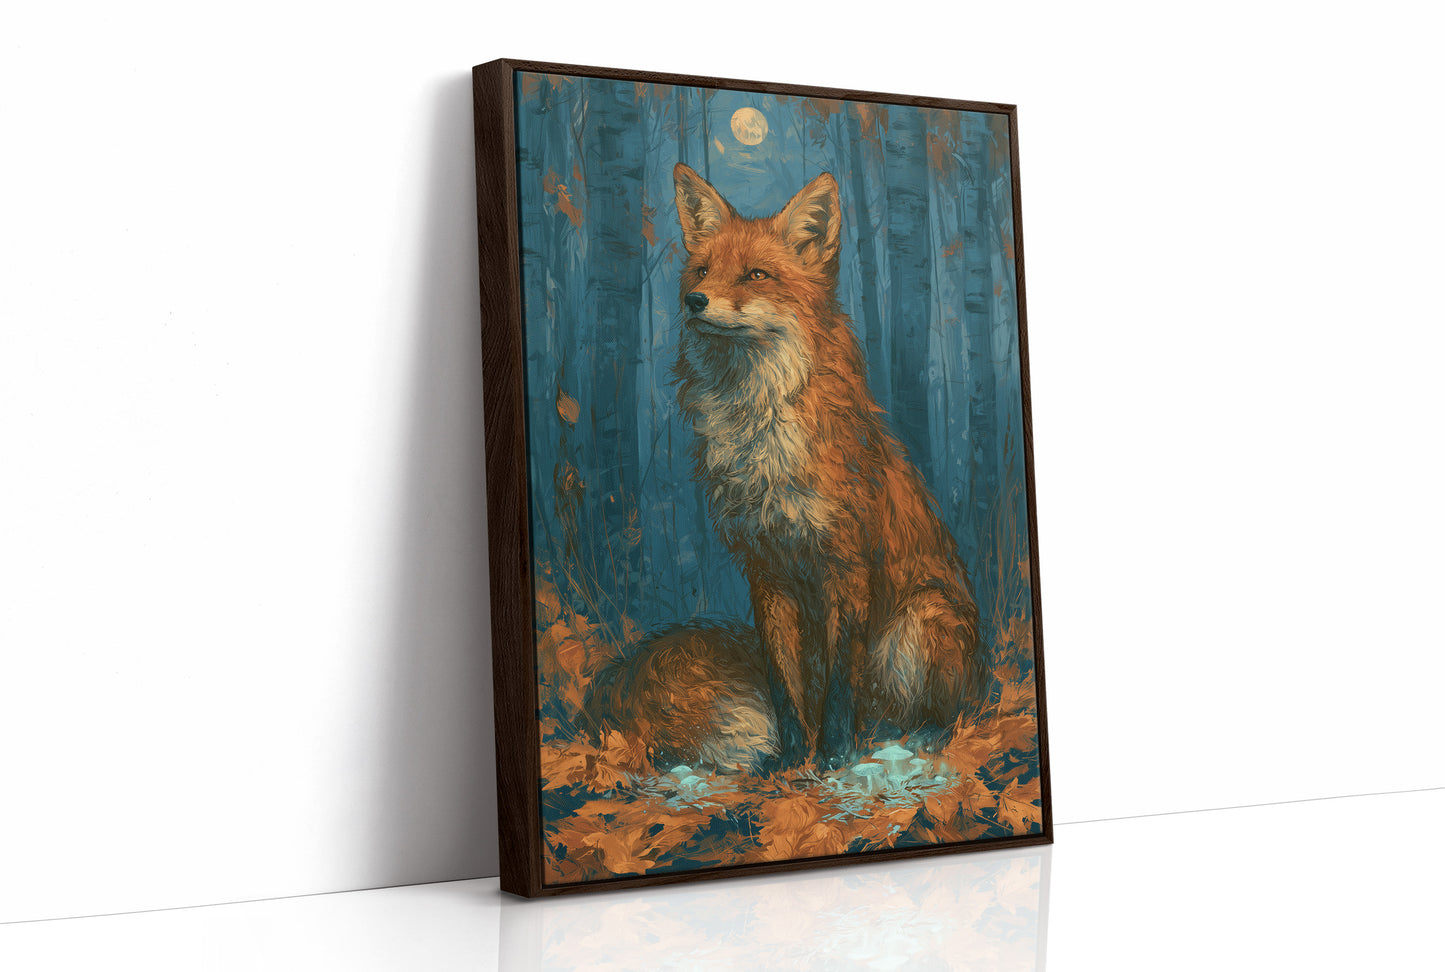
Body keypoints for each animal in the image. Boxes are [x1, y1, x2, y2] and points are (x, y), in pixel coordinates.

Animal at [585, 164, 986, 771]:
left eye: (756, 274)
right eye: (703, 270)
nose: (694, 300)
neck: (759, 436)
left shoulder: (845, 567)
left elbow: (840, 682)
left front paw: (834, 755)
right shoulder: (766, 571)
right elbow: (783, 681)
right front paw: (792, 759)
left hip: (918, 622)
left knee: (941, 714)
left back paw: (912, 739)